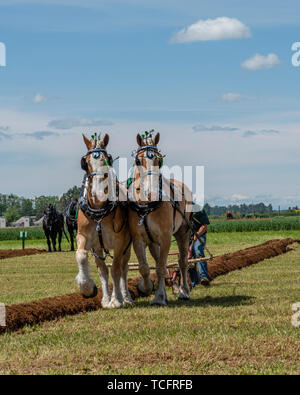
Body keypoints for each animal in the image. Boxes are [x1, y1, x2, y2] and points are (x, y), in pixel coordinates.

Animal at [75, 133, 132, 310]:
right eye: (85, 163)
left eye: (108, 159)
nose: (99, 194)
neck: (99, 212)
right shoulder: (85, 238)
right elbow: (82, 256)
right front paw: (87, 288)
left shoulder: (120, 242)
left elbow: (116, 270)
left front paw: (117, 300)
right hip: (98, 248)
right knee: (103, 271)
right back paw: (106, 299)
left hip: (128, 246)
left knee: (123, 268)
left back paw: (126, 297)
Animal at [127, 131, 193, 308]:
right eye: (138, 161)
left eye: (159, 160)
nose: (152, 192)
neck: (147, 206)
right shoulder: (138, 238)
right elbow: (144, 267)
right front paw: (145, 287)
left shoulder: (165, 237)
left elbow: (162, 268)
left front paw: (159, 297)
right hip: (153, 242)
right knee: (157, 261)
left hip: (183, 232)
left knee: (182, 261)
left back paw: (184, 291)